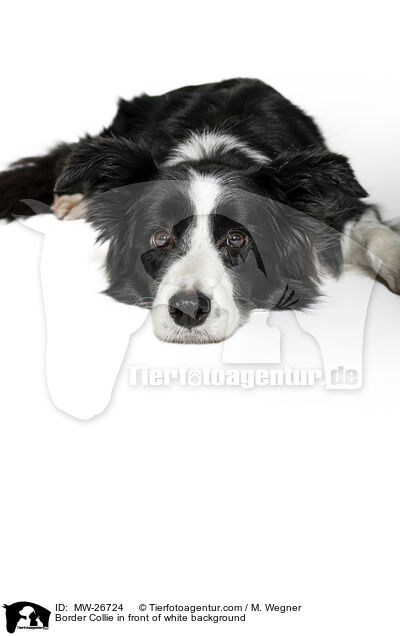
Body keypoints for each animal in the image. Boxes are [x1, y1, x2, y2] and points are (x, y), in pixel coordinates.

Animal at [0, 79, 400, 342]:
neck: (214, 149)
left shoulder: (336, 205)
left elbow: (372, 232)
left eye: (237, 238)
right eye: (160, 237)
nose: (189, 310)